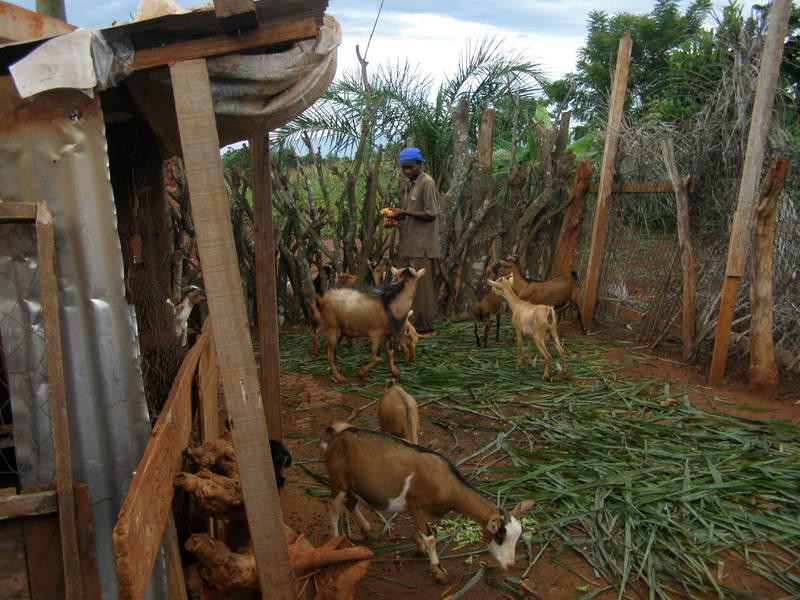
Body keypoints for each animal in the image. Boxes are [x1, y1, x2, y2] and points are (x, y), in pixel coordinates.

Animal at [322, 424, 536, 584]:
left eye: (518, 537)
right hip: (338, 481)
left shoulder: (420, 511)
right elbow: (431, 538)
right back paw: (336, 544)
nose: (510, 565)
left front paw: (419, 550)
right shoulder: (416, 506)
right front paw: (439, 571)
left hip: (353, 485)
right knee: (333, 510)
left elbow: (421, 532)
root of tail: (335, 436)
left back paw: (366, 529)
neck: (445, 482)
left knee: (351, 503)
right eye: (500, 536)